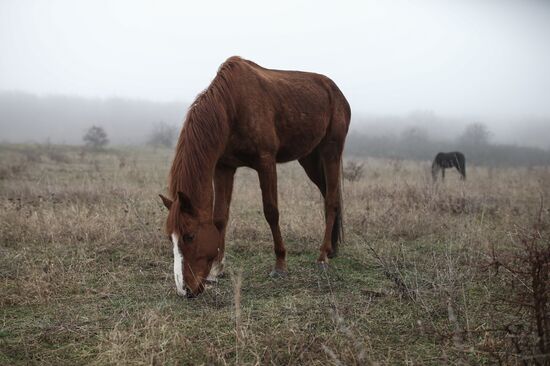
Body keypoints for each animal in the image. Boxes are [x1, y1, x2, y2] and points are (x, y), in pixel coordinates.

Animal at [158, 57, 354, 298]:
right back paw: (333, 249)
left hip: (330, 151)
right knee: (329, 195)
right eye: (171, 238)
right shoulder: (224, 167)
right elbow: (220, 217)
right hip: (309, 158)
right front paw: (216, 269)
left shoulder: (266, 163)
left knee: (332, 200)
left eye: (190, 236)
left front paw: (280, 265)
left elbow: (271, 211)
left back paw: (323, 256)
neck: (231, 107)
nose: (185, 289)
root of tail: (337, 92)